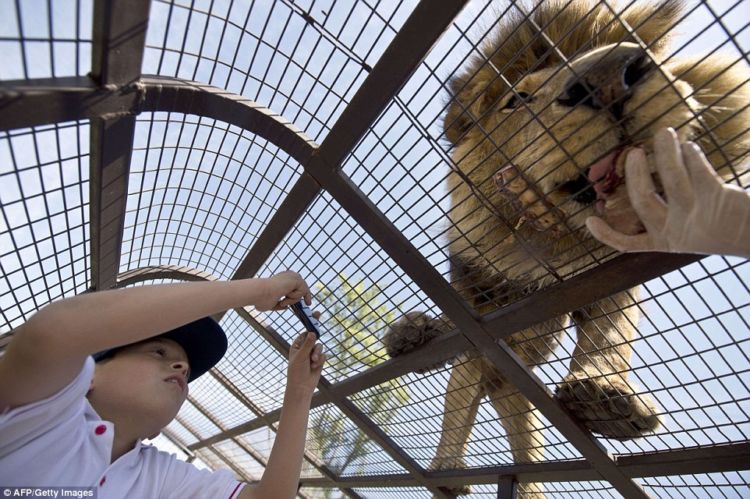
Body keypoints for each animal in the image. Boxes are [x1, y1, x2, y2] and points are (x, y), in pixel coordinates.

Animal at [384, 0, 748, 496]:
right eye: (518, 99)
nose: (612, 75)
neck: (552, 238)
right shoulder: (481, 294)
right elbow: (463, 338)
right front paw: (423, 331)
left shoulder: (613, 278)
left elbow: (609, 334)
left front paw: (603, 396)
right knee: (461, 391)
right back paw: (444, 455)